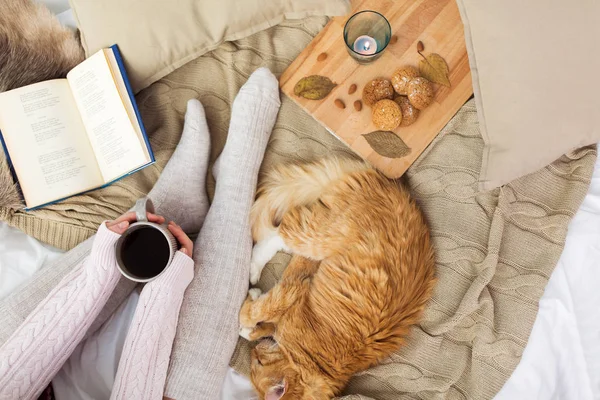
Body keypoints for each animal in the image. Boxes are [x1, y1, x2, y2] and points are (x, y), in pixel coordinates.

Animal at [238, 158, 436, 398]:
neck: (316, 364)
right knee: (280, 231)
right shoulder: (294, 291)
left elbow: (256, 316)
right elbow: (258, 313)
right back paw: (253, 268)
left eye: (256, 363)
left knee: (282, 234)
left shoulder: (293, 292)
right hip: (319, 239)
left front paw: (248, 323)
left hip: (318, 242)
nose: (253, 354)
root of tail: (387, 185)